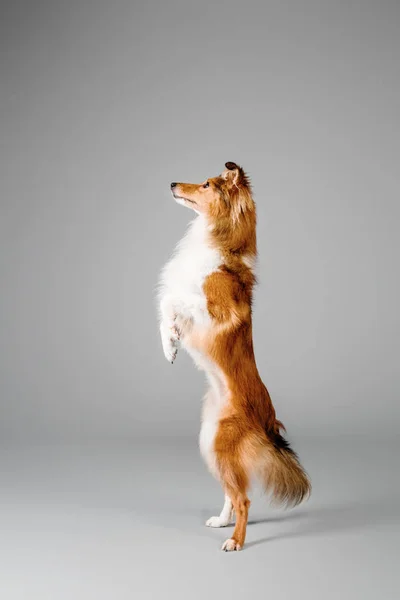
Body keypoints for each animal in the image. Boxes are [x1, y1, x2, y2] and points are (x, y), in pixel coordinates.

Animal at [158, 162, 310, 552]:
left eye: (207, 184)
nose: (172, 183)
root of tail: (266, 422)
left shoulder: (213, 310)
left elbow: (173, 297)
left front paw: (174, 338)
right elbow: (165, 310)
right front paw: (169, 346)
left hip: (220, 440)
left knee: (244, 498)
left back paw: (236, 541)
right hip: (210, 441)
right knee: (232, 489)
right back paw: (222, 522)